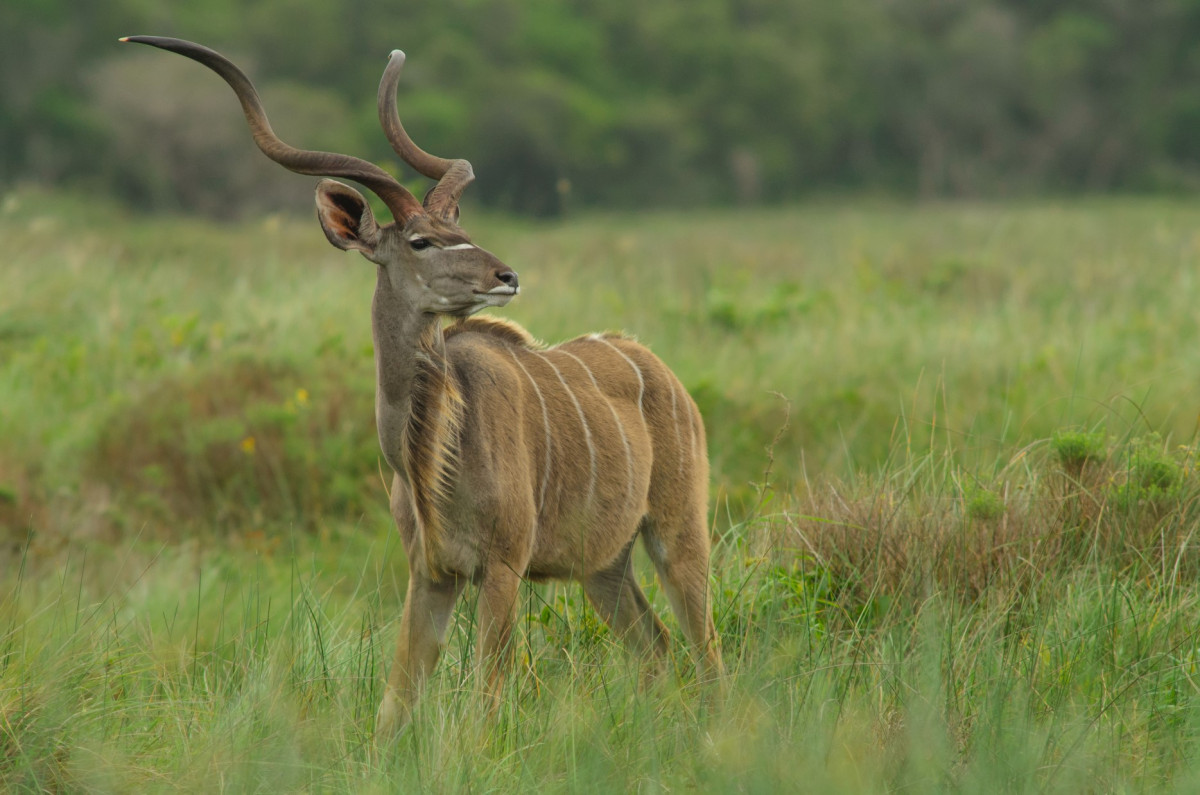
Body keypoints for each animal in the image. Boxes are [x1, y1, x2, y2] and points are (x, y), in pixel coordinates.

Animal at [121, 35, 720, 734]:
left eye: (461, 231)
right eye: (421, 240)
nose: (506, 276)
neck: (434, 454)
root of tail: (659, 370)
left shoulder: (502, 568)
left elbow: (486, 700)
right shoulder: (430, 573)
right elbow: (397, 698)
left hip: (677, 532)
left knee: (707, 652)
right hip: (603, 567)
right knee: (657, 649)